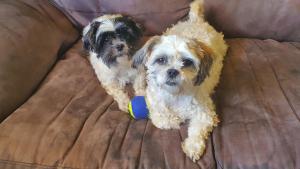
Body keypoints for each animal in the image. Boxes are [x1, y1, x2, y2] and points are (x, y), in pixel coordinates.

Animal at [132, 0, 229, 161]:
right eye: (161, 60)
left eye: (186, 62)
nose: (172, 71)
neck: (174, 95)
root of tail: (195, 20)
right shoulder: (154, 104)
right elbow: (162, 119)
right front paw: (175, 119)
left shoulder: (204, 113)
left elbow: (198, 129)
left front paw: (193, 146)